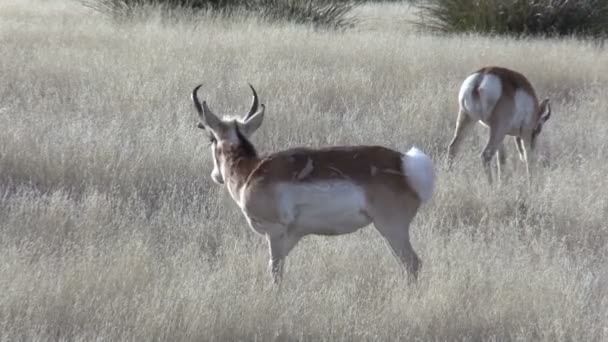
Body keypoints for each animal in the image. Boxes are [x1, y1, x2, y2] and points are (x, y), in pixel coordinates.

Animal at [192, 83, 434, 284]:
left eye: (211, 138)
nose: (216, 176)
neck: (252, 170)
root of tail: (406, 162)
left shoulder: (275, 234)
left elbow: (275, 273)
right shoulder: (292, 237)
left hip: (391, 229)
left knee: (412, 264)